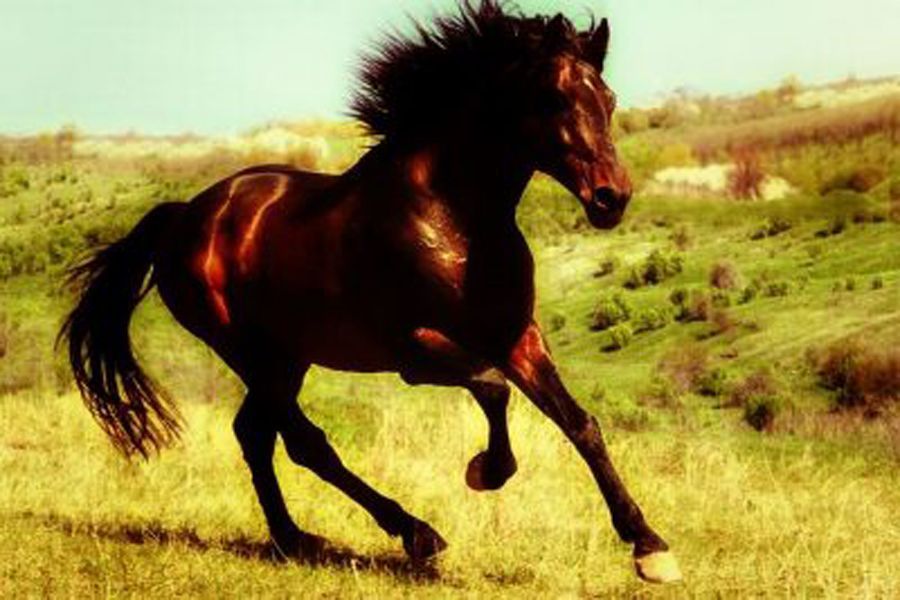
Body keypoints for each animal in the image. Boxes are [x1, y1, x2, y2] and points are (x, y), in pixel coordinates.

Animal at [59, 1, 681, 583]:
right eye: (553, 98)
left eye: (609, 99)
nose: (611, 197)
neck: (455, 218)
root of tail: (186, 215)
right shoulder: (415, 349)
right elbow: (493, 387)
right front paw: (484, 471)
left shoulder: (515, 335)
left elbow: (580, 423)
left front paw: (650, 548)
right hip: (246, 350)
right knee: (302, 441)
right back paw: (414, 533)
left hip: (287, 357)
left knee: (256, 434)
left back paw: (296, 539)